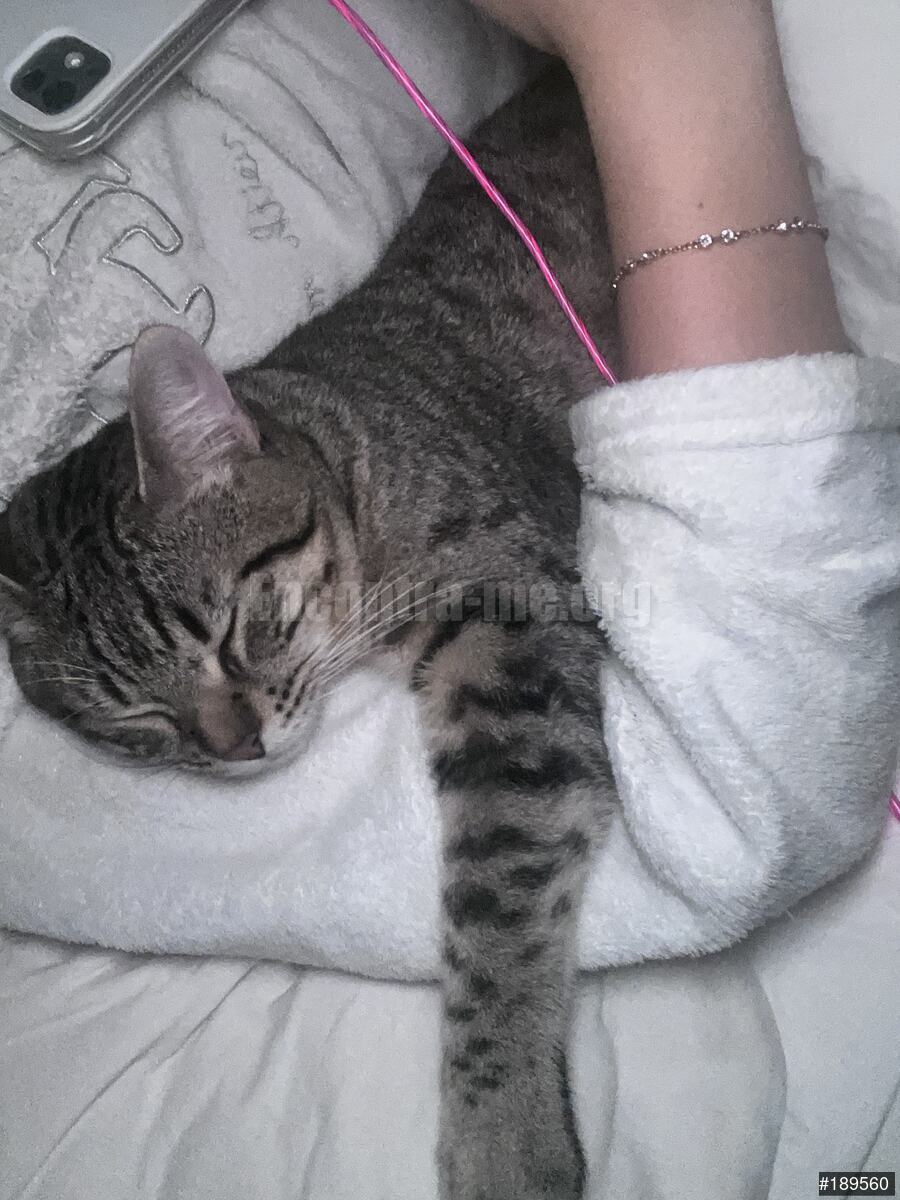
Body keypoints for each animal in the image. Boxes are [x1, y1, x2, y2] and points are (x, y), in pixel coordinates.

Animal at [0, 68, 619, 1199]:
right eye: (135, 720)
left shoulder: (513, 619)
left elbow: (502, 890)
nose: (235, 747)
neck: (348, 457)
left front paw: (503, 1134)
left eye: (238, 629)